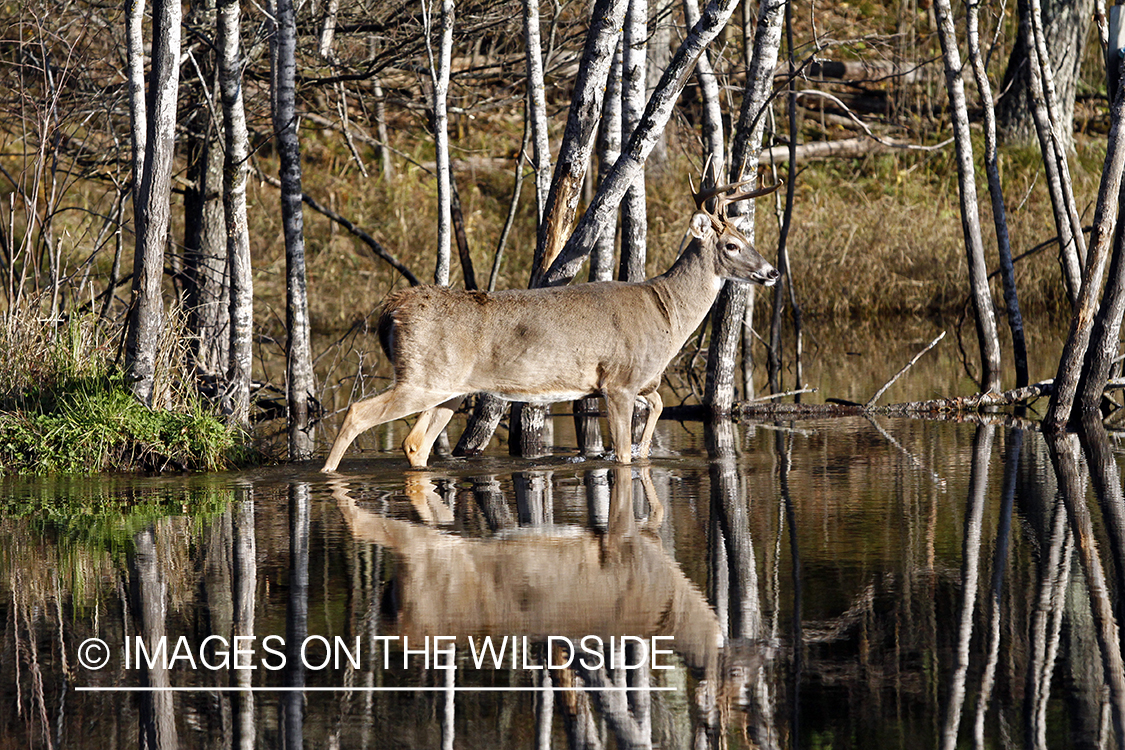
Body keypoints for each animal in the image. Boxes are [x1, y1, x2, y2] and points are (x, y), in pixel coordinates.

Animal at [321, 176, 783, 472]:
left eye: (748, 238)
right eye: (732, 245)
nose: (772, 272)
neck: (665, 312)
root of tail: (390, 309)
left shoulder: (641, 381)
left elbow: (657, 408)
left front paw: (647, 449)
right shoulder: (618, 381)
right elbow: (622, 455)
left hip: (449, 389)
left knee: (415, 443)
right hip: (422, 377)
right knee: (358, 412)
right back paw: (328, 475)